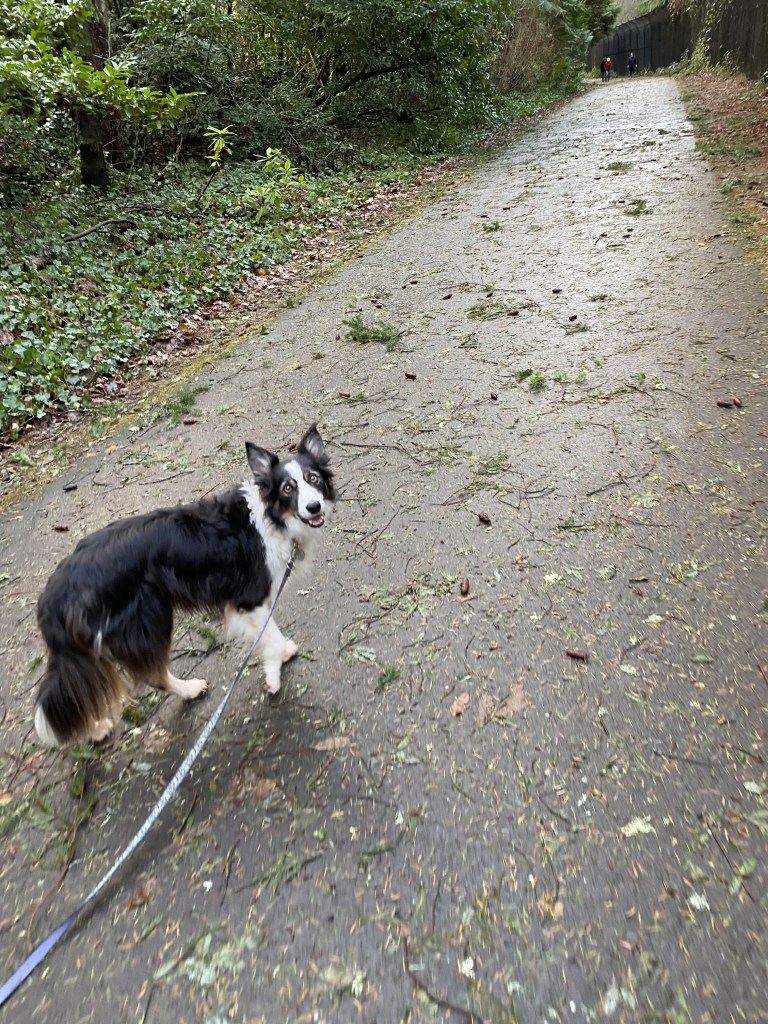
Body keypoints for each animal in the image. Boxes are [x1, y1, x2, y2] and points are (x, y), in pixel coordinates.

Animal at [34, 425, 335, 748]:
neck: (272, 518)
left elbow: (267, 637)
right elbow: (273, 639)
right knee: (149, 676)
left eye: (313, 479)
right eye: (288, 489)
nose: (314, 507)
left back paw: (95, 728)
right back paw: (189, 690)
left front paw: (277, 658)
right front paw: (274, 676)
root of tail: (57, 590)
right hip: (149, 619)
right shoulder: (249, 598)